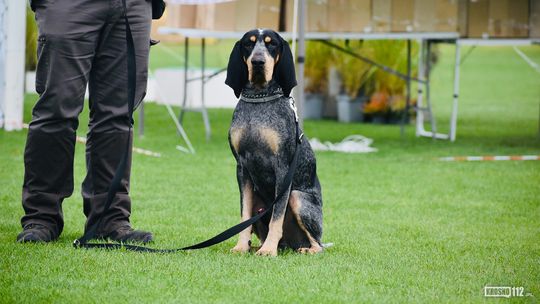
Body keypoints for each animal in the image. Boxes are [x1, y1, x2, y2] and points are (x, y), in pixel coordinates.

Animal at [225, 29, 322, 256]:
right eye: (248, 44)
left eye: (272, 44)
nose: (258, 62)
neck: (259, 98)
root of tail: (291, 244)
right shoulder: (241, 167)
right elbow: (244, 215)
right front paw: (241, 246)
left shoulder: (282, 167)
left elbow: (277, 216)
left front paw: (269, 250)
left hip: (298, 198)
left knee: (319, 244)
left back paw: (304, 249)